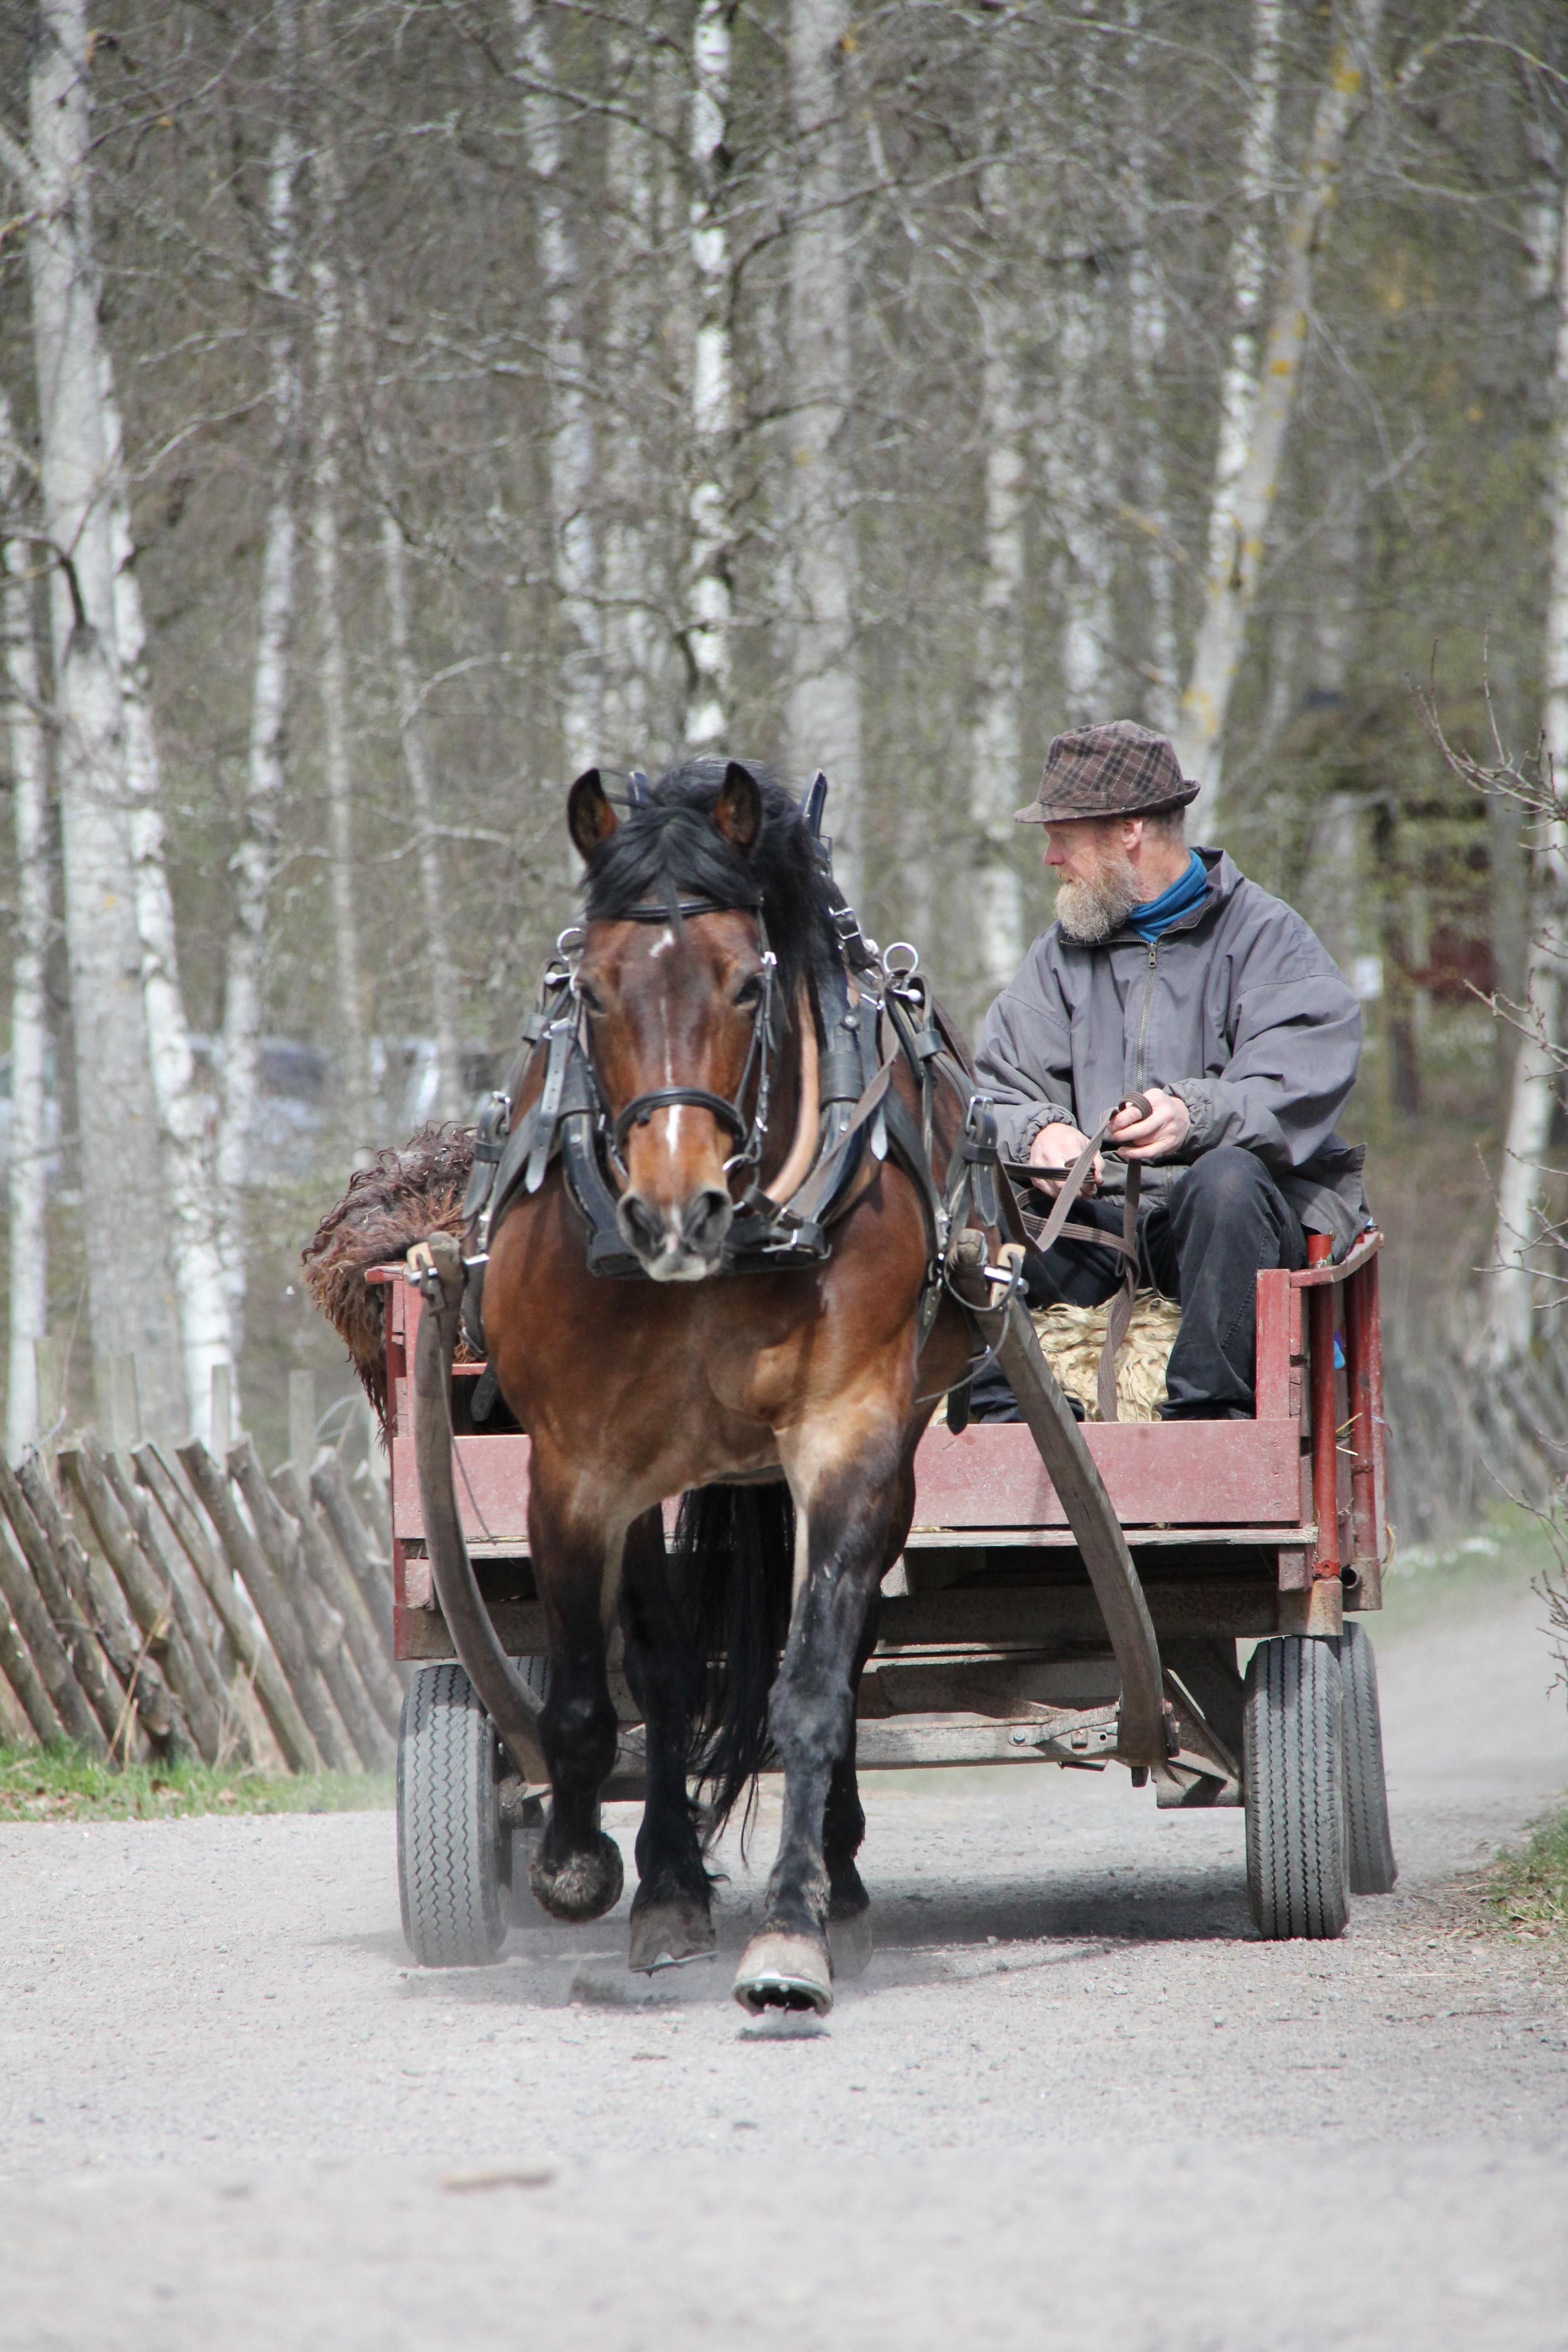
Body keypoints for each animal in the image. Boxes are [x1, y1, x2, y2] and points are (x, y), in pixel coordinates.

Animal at [311, 756, 988, 2013]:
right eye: (590, 989)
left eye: (745, 984)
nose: (674, 1210)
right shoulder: (577, 1468)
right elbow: (595, 1692)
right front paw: (582, 1862)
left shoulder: (847, 1438)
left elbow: (810, 1685)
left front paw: (794, 1928)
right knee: (665, 1666)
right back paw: (668, 1881)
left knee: (836, 1642)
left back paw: (838, 1879)